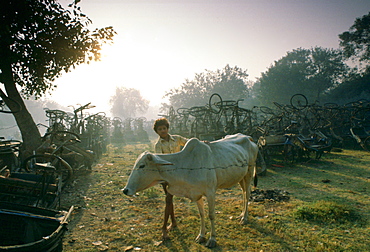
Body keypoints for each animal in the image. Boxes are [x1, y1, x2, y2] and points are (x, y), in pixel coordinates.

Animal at [123, 133, 258, 247]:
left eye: (142, 165)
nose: (125, 190)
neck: (186, 166)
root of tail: (249, 137)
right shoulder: (196, 194)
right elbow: (202, 214)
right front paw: (201, 236)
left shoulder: (211, 192)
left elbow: (211, 215)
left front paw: (212, 239)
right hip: (241, 177)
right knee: (244, 193)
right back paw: (241, 214)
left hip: (249, 173)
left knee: (247, 194)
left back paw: (244, 218)